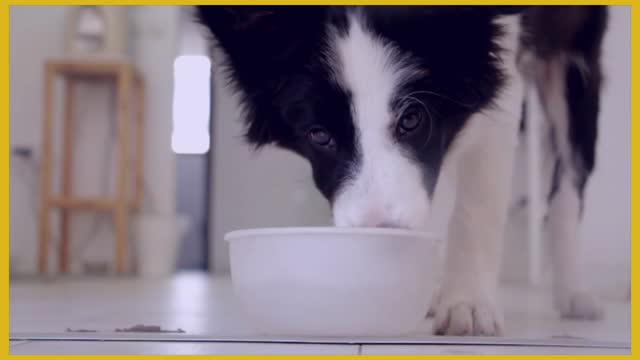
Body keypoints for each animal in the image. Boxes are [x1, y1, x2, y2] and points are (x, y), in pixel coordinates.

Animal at [198, 5, 608, 336]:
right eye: (319, 134)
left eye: (412, 119)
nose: (382, 235)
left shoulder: (497, 64)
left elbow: (478, 202)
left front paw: (469, 304)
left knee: (568, 180)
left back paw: (575, 293)